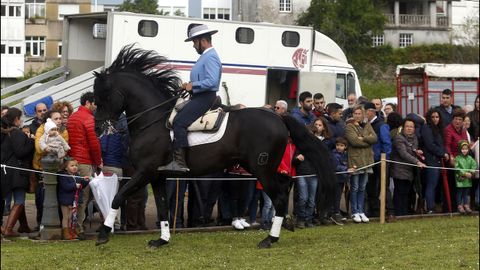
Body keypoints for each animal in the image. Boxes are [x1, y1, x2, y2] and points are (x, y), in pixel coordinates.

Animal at [93, 44, 334, 249]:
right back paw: (286, 225)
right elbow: (162, 208)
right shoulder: (157, 176)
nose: (96, 126)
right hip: (266, 168)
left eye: (104, 95)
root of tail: (278, 116)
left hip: (262, 169)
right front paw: (162, 240)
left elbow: (118, 197)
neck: (152, 120)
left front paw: (103, 233)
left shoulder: (145, 172)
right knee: (284, 188)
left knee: (281, 197)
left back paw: (269, 239)